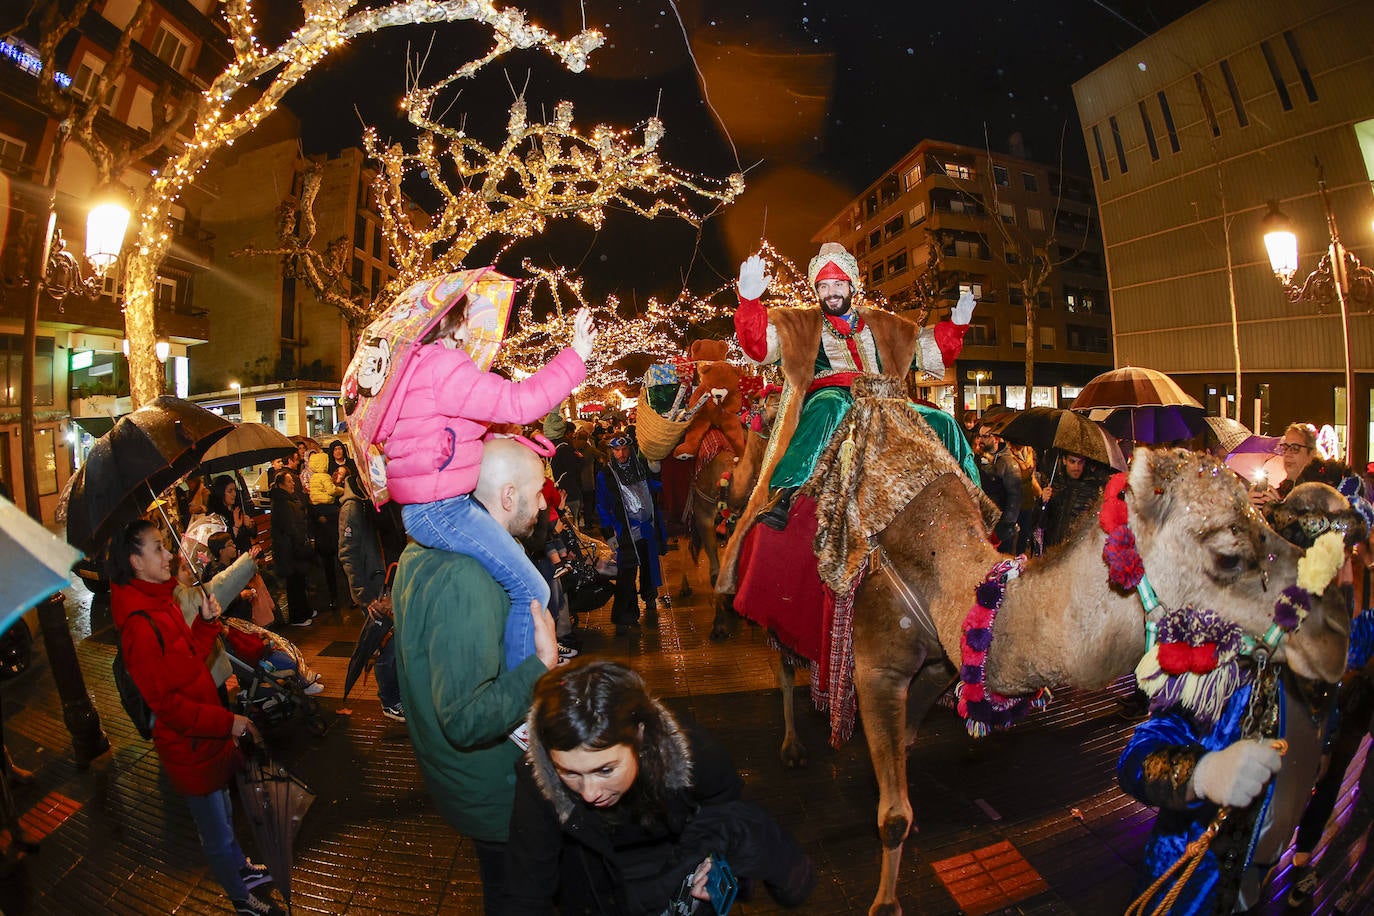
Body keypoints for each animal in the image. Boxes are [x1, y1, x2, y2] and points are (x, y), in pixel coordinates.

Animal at [769, 447, 1357, 911]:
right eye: (1229, 552)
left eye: (1270, 519)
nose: (1338, 630)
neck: (946, 566)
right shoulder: (876, 661)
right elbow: (893, 815)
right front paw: (885, 902)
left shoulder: (940, 663)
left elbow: (907, 742)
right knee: (782, 662)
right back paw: (792, 745)